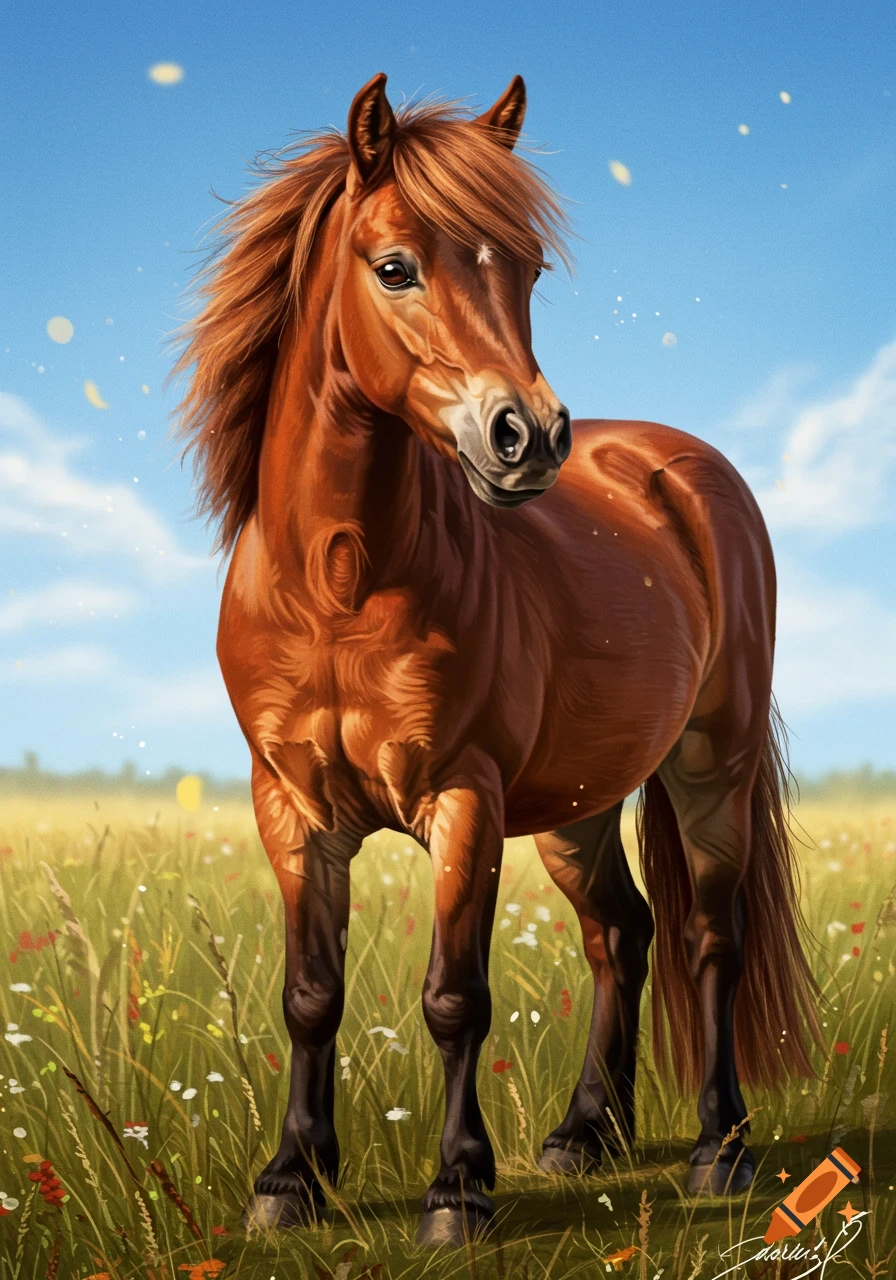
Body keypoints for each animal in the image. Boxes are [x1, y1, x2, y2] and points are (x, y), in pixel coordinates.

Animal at [174, 72, 824, 1247]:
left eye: (526, 269)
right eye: (394, 266)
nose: (529, 437)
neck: (339, 582)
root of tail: (681, 463)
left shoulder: (463, 797)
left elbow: (453, 996)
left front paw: (458, 1192)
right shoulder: (289, 808)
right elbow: (310, 992)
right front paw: (292, 1179)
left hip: (710, 764)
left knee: (709, 933)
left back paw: (719, 1148)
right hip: (576, 803)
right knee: (620, 930)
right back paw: (583, 1134)